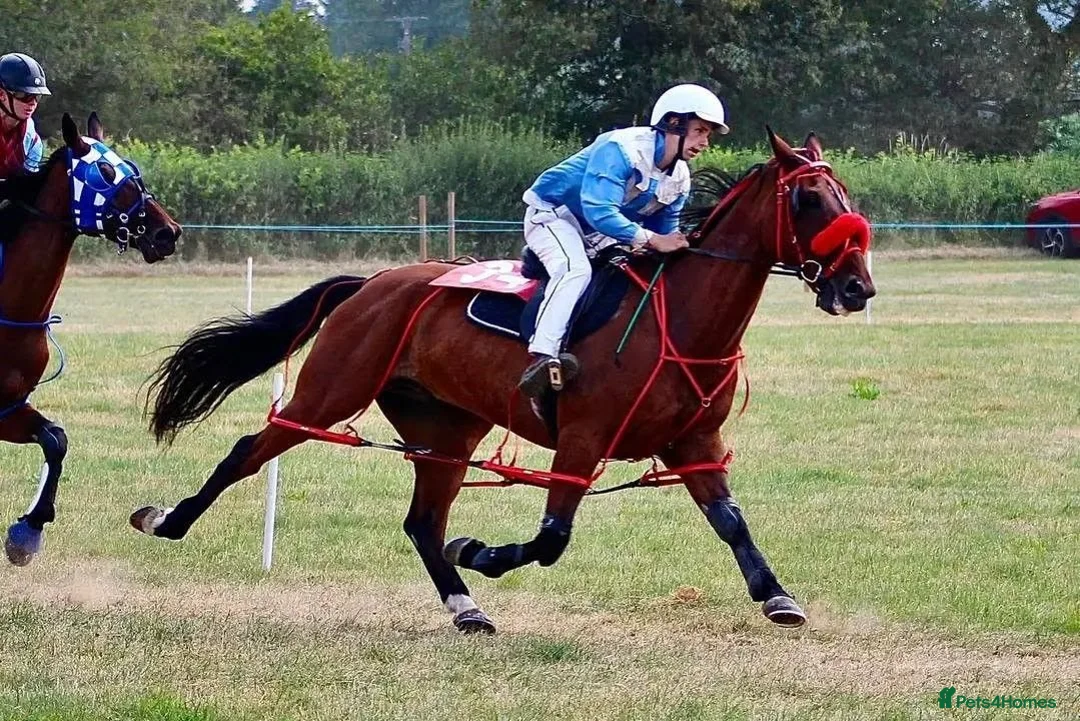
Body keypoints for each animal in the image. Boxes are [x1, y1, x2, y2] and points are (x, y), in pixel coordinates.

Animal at [0, 112, 182, 566]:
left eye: (132, 167)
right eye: (103, 172)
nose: (168, 232)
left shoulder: (8, 407)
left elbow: (56, 440)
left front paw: (27, 533)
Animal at [133, 128, 874, 633]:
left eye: (846, 194)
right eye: (808, 197)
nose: (857, 287)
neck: (680, 319)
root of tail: (371, 283)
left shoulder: (696, 444)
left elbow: (731, 522)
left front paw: (777, 594)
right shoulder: (581, 440)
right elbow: (550, 539)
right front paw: (481, 550)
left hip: (447, 430)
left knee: (422, 522)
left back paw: (467, 608)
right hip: (329, 393)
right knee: (248, 451)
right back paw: (165, 517)